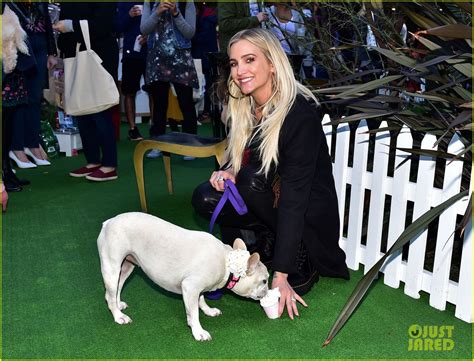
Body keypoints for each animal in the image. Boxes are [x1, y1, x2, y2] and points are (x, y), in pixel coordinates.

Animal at [97, 211, 266, 340]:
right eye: (265, 281)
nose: (267, 292)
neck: (228, 263)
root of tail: (108, 223)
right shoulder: (191, 287)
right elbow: (194, 312)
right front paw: (198, 331)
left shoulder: (198, 289)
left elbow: (201, 300)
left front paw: (208, 310)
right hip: (111, 267)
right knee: (109, 295)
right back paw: (118, 316)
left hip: (126, 266)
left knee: (118, 287)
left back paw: (119, 305)